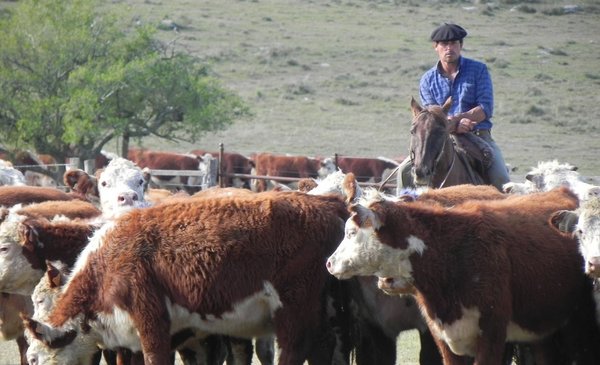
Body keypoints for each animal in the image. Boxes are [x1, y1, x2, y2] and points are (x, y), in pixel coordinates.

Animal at [25, 191, 350, 364]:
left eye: (35, 359)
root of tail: (324, 202)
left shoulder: (151, 322)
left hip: (293, 311)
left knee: (295, 350)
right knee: (324, 347)